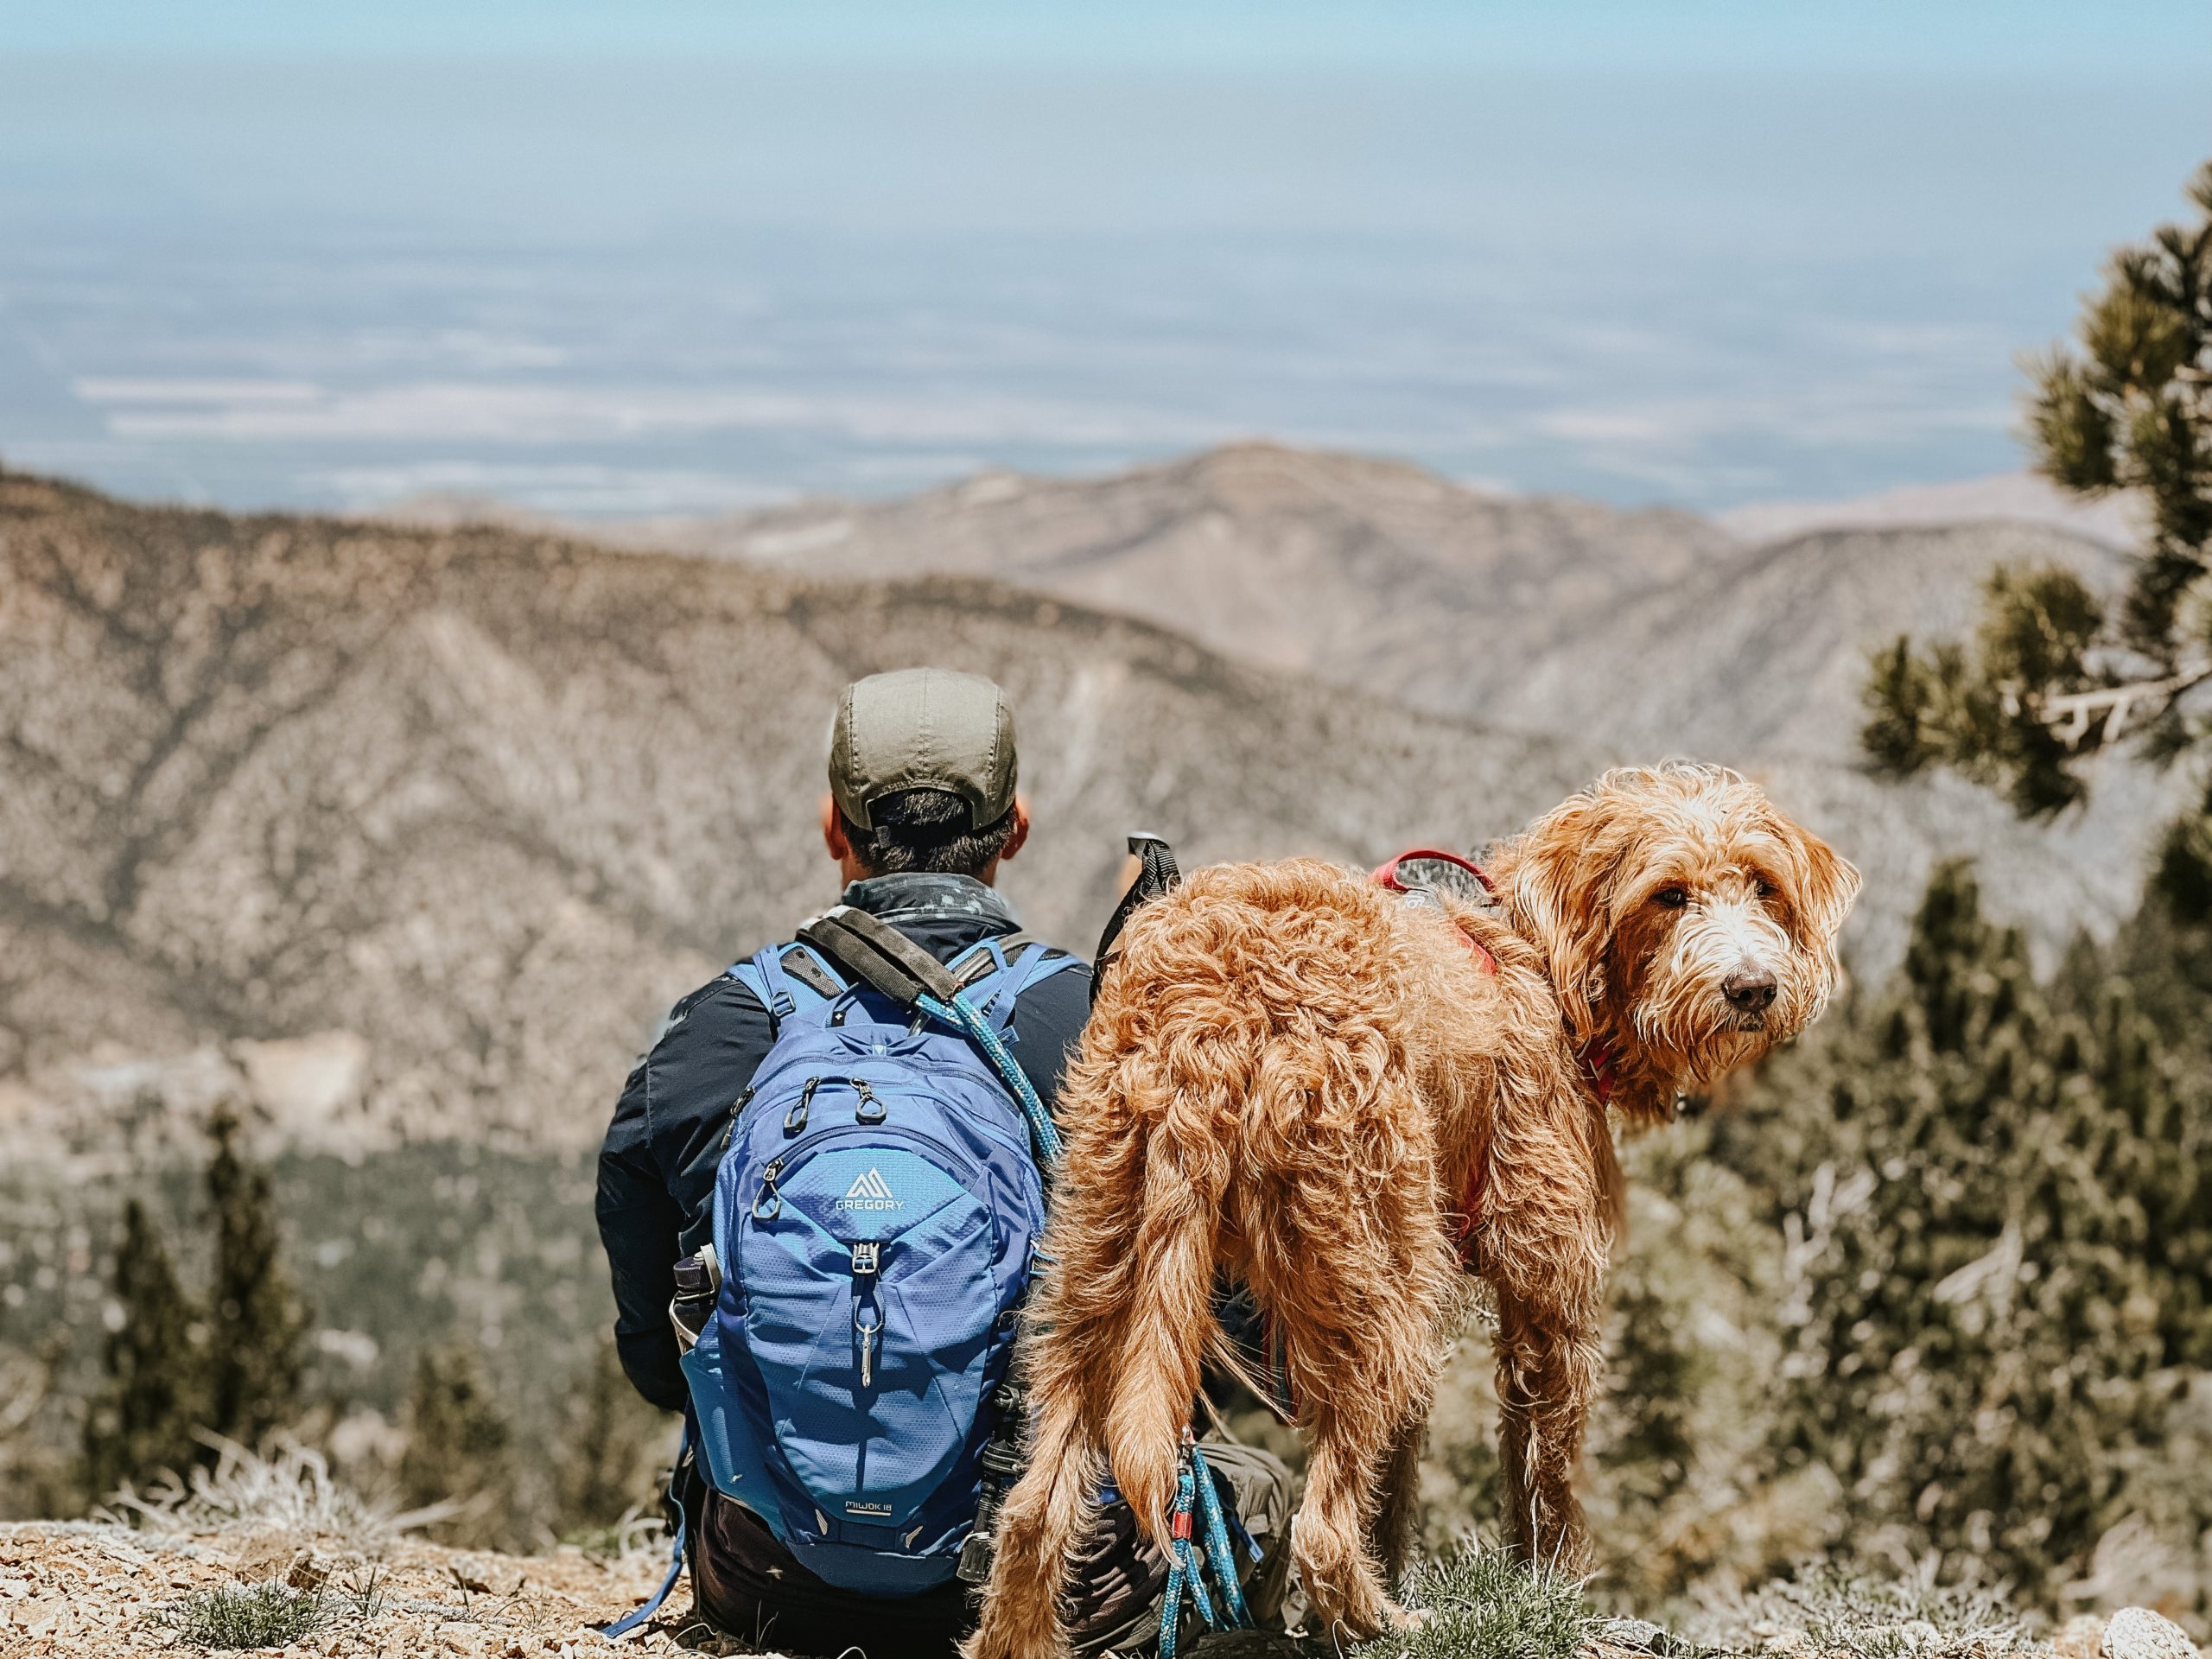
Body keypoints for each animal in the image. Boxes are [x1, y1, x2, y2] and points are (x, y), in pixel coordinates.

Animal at [977, 765, 1858, 1659]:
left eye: (1764, 884)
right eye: (1670, 894)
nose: (1753, 988)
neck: (1546, 963)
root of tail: (1215, 1015)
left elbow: (1404, 1474)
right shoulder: (1547, 1290)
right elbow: (1546, 1469)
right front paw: (1557, 1590)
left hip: (1099, 1279)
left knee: (1033, 1513)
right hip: (1373, 1282)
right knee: (1322, 1528)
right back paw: (1382, 1620)